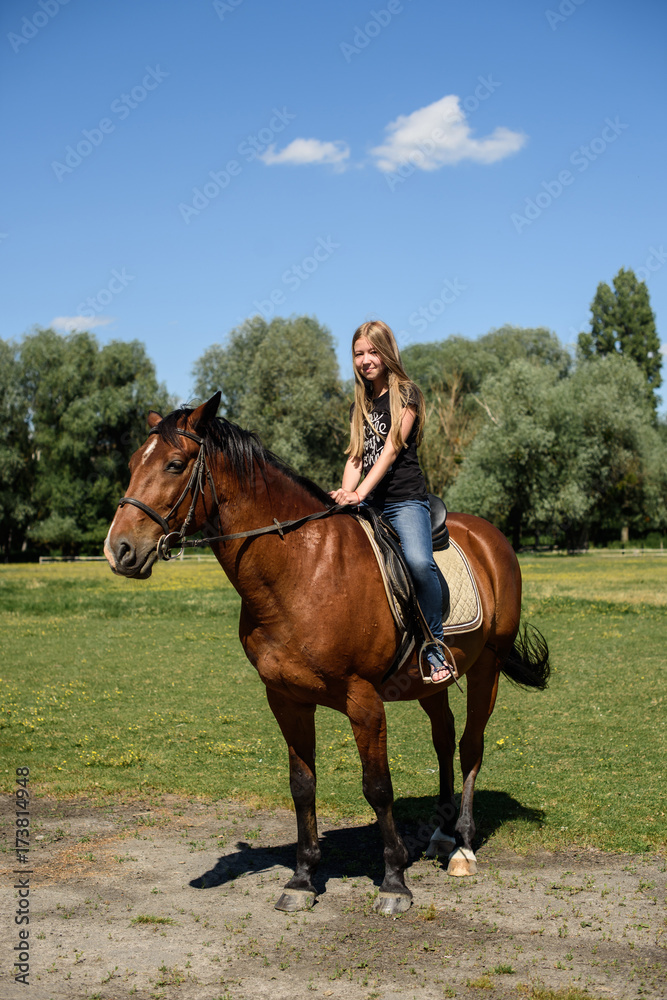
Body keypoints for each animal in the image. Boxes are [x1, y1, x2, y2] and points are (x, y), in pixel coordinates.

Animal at [104, 394, 548, 916]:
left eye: (175, 464)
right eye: (133, 464)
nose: (119, 550)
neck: (302, 567)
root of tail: (489, 536)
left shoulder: (364, 701)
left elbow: (377, 787)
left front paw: (394, 881)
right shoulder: (286, 699)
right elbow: (302, 784)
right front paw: (302, 878)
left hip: (487, 669)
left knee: (469, 746)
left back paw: (461, 845)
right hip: (429, 681)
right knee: (443, 738)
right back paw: (439, 833)